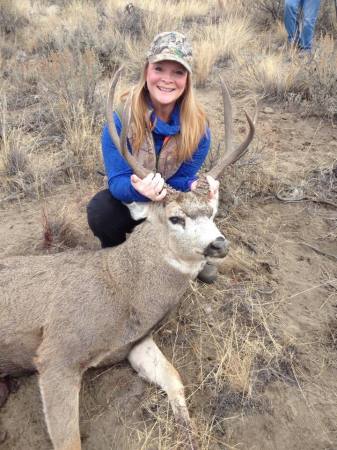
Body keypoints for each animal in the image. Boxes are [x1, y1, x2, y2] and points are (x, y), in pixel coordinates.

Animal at [0, 67, 252, 450]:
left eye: (212, 212)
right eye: (175, 218)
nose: (218, 245)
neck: (123, 289)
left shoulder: (136, 342)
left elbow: (175, 378)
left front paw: (188, 432)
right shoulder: (58, 352)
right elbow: (69, 440)